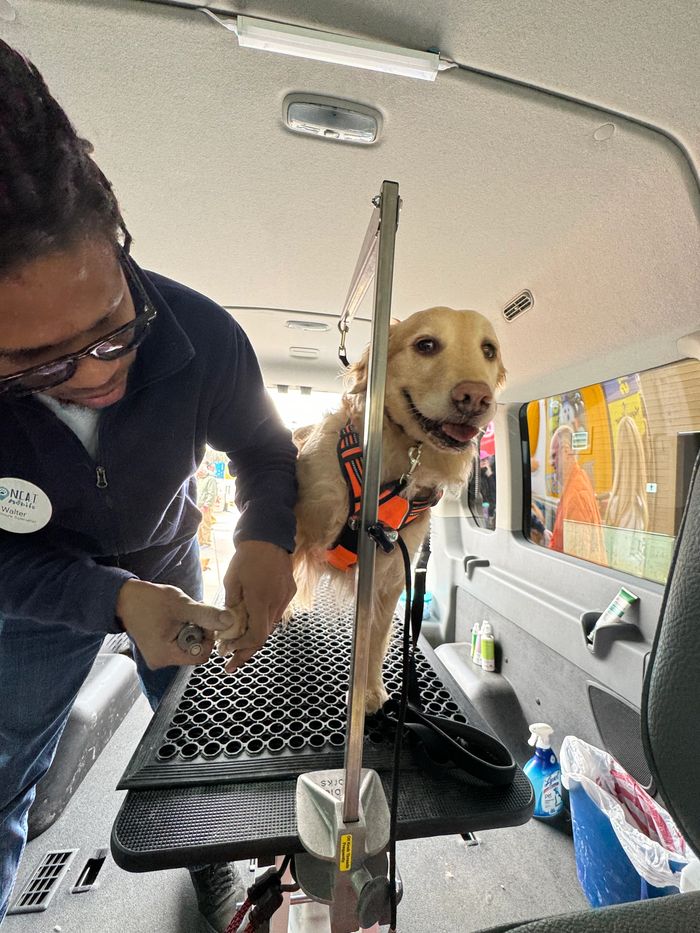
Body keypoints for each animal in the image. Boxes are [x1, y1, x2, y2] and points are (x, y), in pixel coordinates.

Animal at [217, 310, 504, 708]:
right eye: (426, 344)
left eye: (488, 350)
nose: (475, 397)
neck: (396, 465)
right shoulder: (298, 528)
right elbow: (268, 571)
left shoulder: (389, 577)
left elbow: (375, 640)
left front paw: (368, 691)